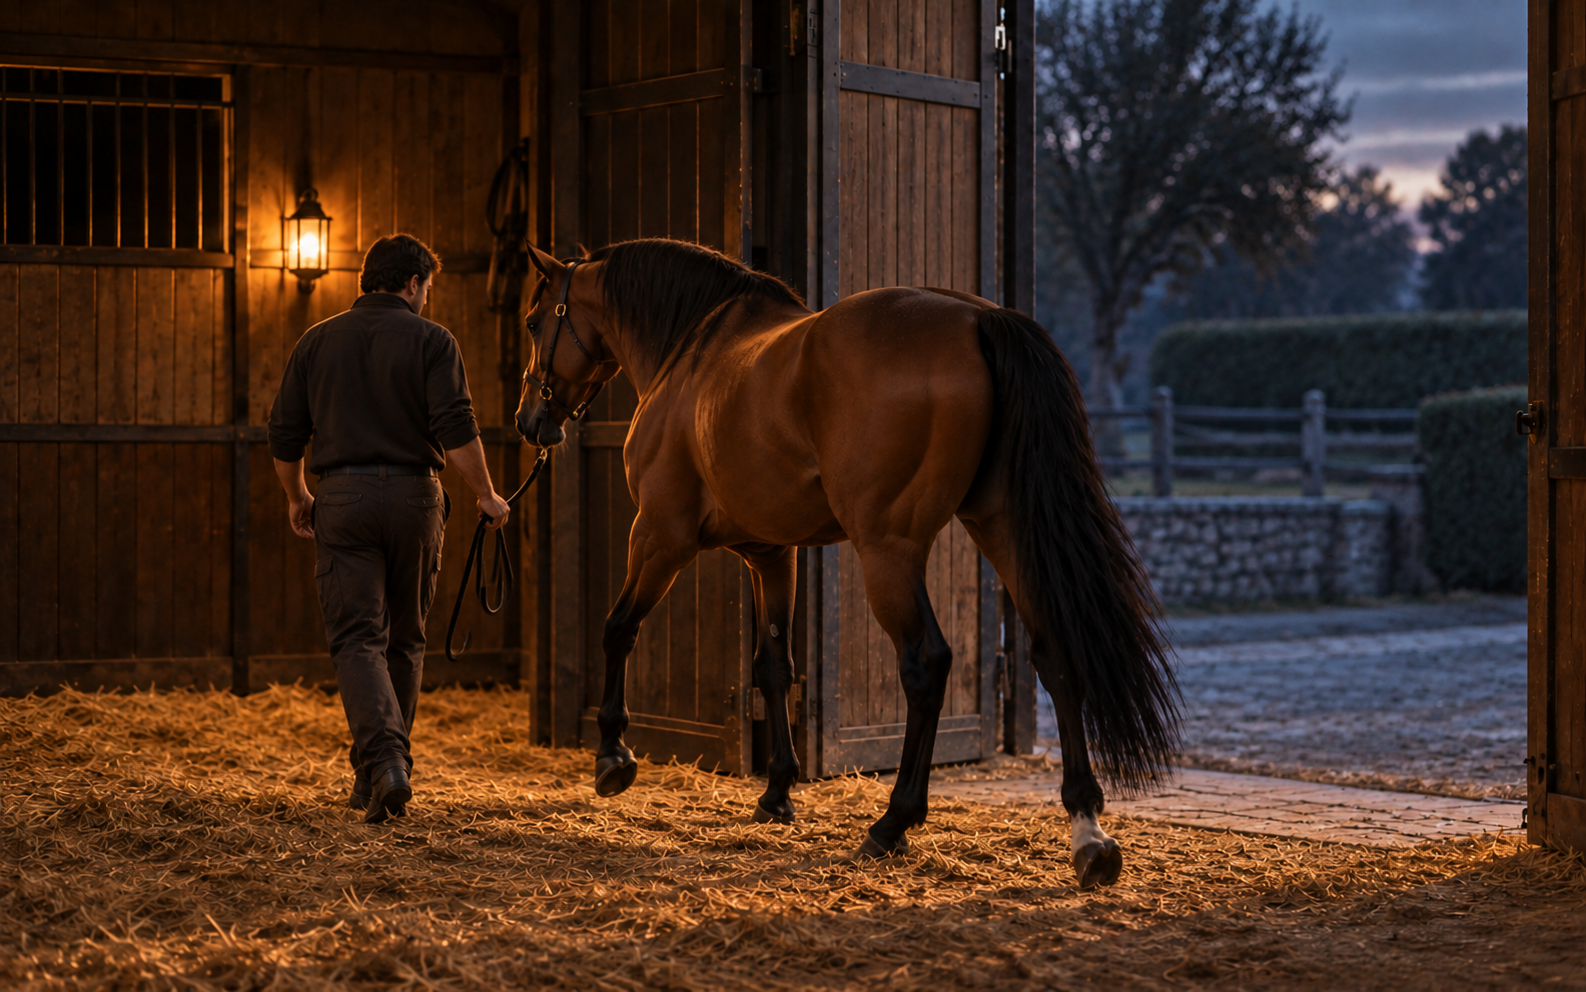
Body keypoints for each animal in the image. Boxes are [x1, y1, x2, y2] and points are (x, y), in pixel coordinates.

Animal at [512, 238, 1179, 887]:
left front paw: (612, 756)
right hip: (1004, 527)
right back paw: (1088, 833)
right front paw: (777, 793)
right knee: (1055, 654)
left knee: (926, 664)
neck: (694, 355)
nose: (529, 422)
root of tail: (978, 319)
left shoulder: (658, 534)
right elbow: (773, 668)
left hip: (889, 548)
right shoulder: (770, 554)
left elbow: (618, 628)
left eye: (533, 320)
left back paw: (892, 824)